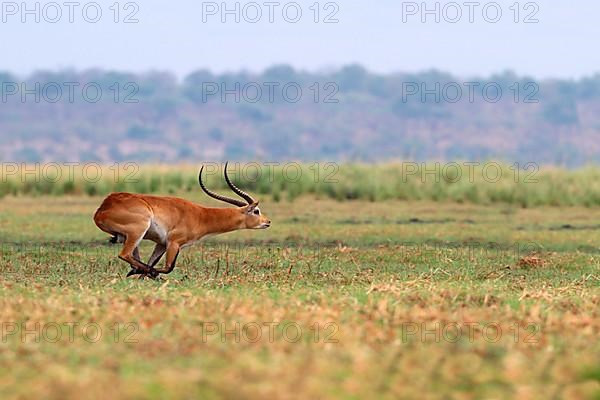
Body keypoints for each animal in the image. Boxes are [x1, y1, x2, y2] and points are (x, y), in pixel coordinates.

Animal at [92, 162, 270, 278]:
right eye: (256, 211)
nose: (268, 222)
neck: (201, 215)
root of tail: (103, 207)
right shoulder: (174, 243)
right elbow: (168, 267)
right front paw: (150, 274)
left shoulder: (162, 244)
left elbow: (152, 262)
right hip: (138, 231)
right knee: (125, 254)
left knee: (135, 259)